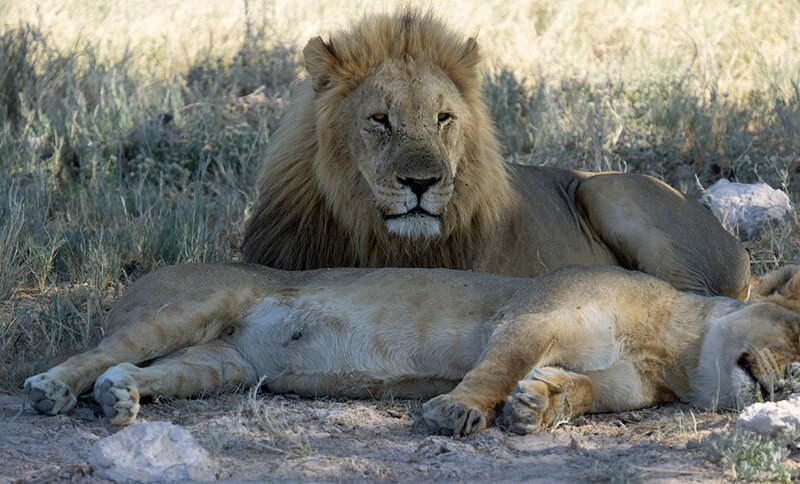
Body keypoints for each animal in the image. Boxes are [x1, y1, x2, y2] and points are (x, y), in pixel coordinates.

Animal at [239, 9, 752, 298]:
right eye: (380, 119)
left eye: (444, 118)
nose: (421, 184)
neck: (367, 231)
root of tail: (737, 248)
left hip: (610, 188)